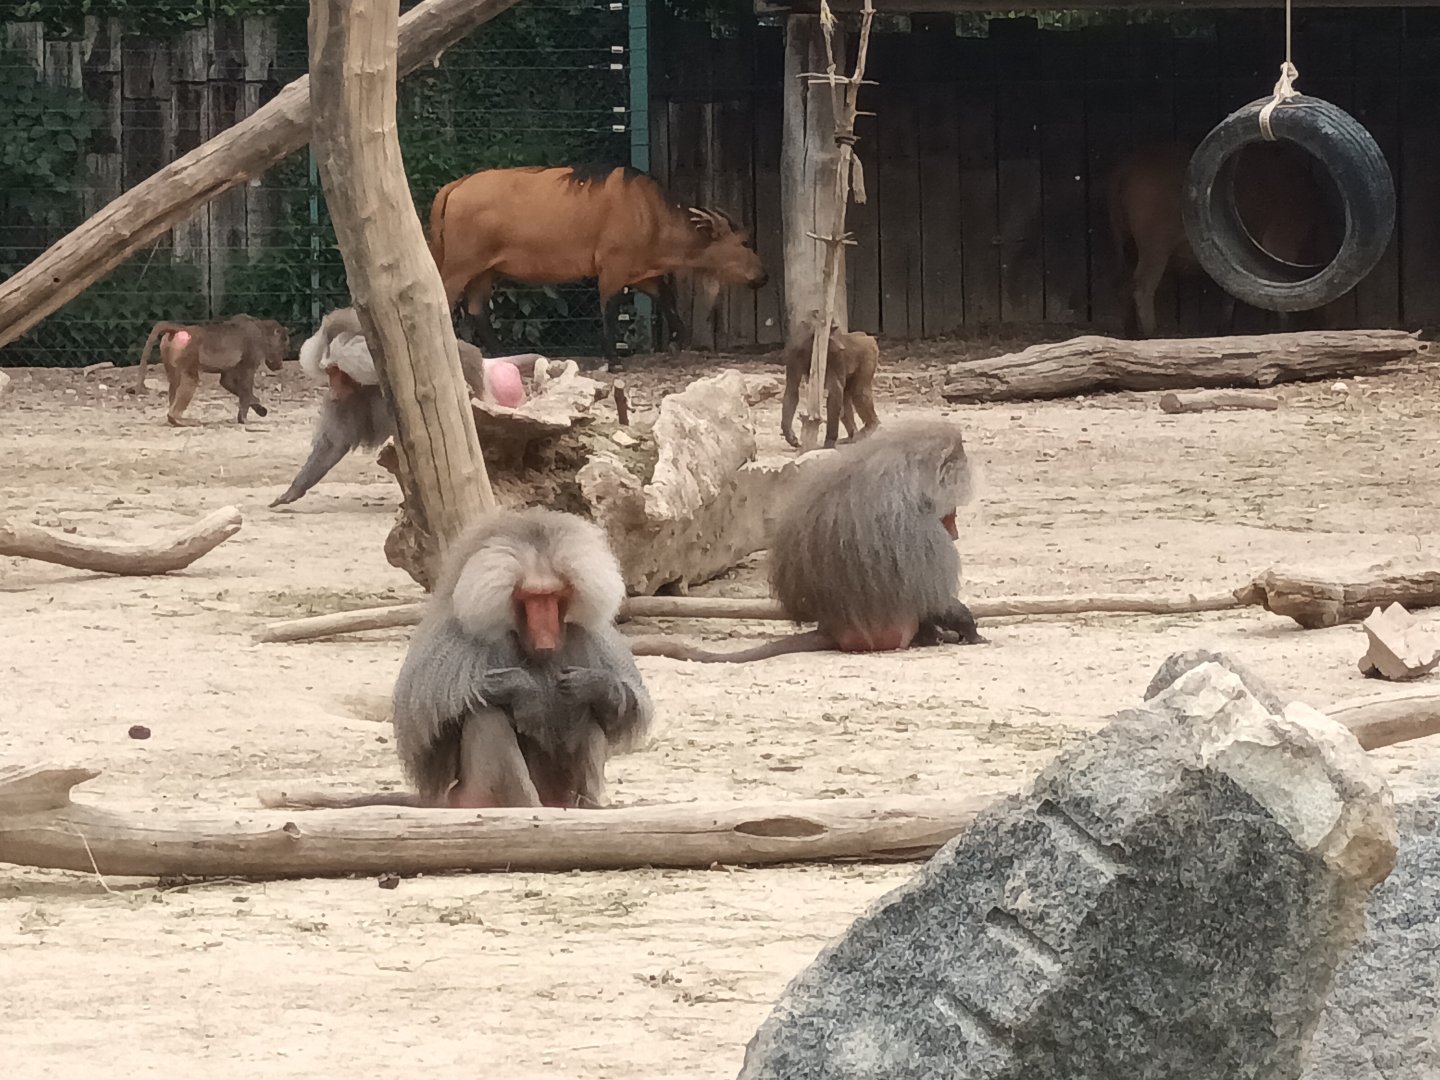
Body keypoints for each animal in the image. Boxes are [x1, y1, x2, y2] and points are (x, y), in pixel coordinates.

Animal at [128, 314, 290, 426]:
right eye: (283, 346)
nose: (280, 365)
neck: (261, 329)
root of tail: (183, 329)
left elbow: (227, 382)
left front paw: (257, 405)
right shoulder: (253, 351)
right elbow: (246, 382)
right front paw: (244, 418)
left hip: (167, 351)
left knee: (174, 382)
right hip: (189, 351)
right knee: (191, 380)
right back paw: (176, 418)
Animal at [259, 508, 654, 811]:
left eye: (555, 597)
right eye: (530, 598)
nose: (547, 634)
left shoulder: (589, 635)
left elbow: (619, 708)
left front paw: (594, 684)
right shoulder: (454, 640)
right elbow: (427, 728)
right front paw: (524, 690)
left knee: (583, 709)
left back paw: (586, 804)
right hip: (469, 793)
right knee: (486, 715)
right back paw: (525, 807)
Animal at [269, 306, 540, 507]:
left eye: (337, 371)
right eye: (329, 372)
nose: (333, 392)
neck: (372, 381)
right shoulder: (351, 399)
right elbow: (334, 444)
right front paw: (292, 491)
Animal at [629, 420, 984, 663]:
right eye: (950, 514)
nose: (954, 533)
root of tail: (833, 627)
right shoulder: (918, 529)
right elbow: (935, 600)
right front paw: (972, 632)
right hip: (890, 631)